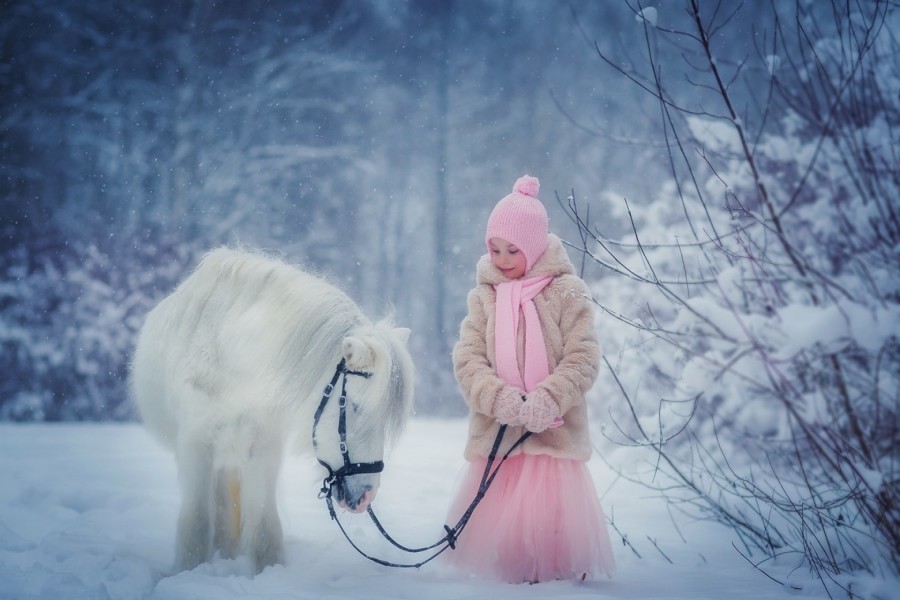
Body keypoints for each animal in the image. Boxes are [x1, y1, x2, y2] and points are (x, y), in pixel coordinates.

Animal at [129, 247, 414, 572]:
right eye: (354, 406)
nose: (367, 495)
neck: (232, 359)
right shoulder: (195, 447)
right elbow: (197, 520)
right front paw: (189, 570)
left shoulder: (262, 447)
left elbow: (264, 523)